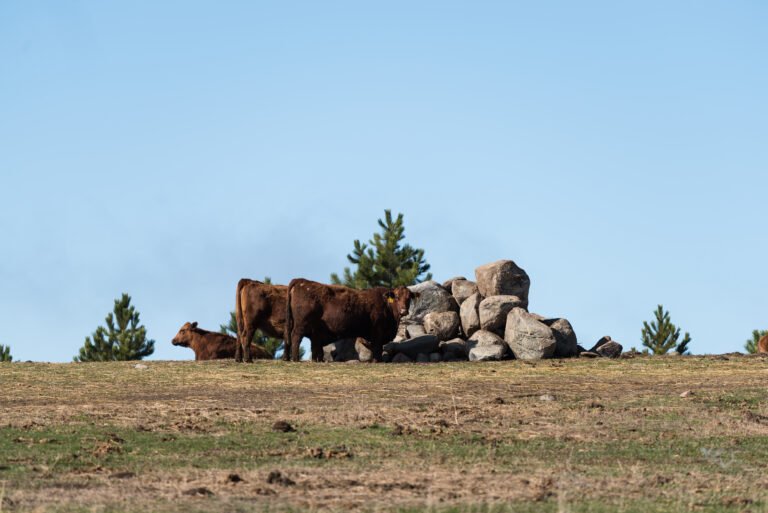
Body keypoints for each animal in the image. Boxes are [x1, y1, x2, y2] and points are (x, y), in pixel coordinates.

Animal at [284, 278, 417, 362]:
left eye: (409, 298)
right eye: (397, 297)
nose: (403, 311)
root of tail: (302, 281)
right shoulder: (377, 332)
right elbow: (377, 348)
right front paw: (377, 361)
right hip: (301, 325)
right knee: (296, 337)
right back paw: (295, 359)